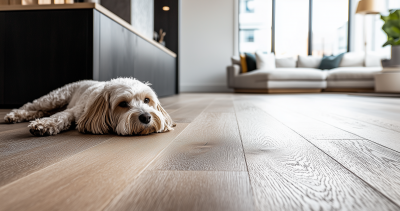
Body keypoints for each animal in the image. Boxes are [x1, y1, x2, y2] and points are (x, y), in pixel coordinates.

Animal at [3, 78, 175, 136]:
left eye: (147, 100)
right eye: (123, 104)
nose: (146, 117)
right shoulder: (76, 111)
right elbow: (61, 117)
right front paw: (44, 125)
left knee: (40, 110)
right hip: (55, 98)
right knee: (31, 105)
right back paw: (14, 115)